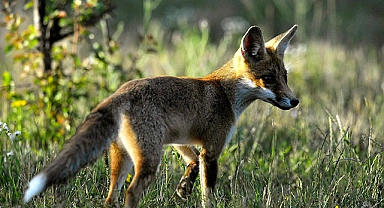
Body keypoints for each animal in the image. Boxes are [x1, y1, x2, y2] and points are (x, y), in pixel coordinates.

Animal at [24, 24, 300, 206]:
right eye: (269, 79)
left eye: (285, 77)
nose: (295, 101)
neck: (225, 93)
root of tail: (120, 92)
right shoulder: (212, 150)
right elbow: (208, 194)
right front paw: (194, 194)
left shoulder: (180, 140)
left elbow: (192, 162)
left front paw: (183, 189)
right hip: (149, 160)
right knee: (131, 192)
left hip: (122, 159)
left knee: (110, 198)